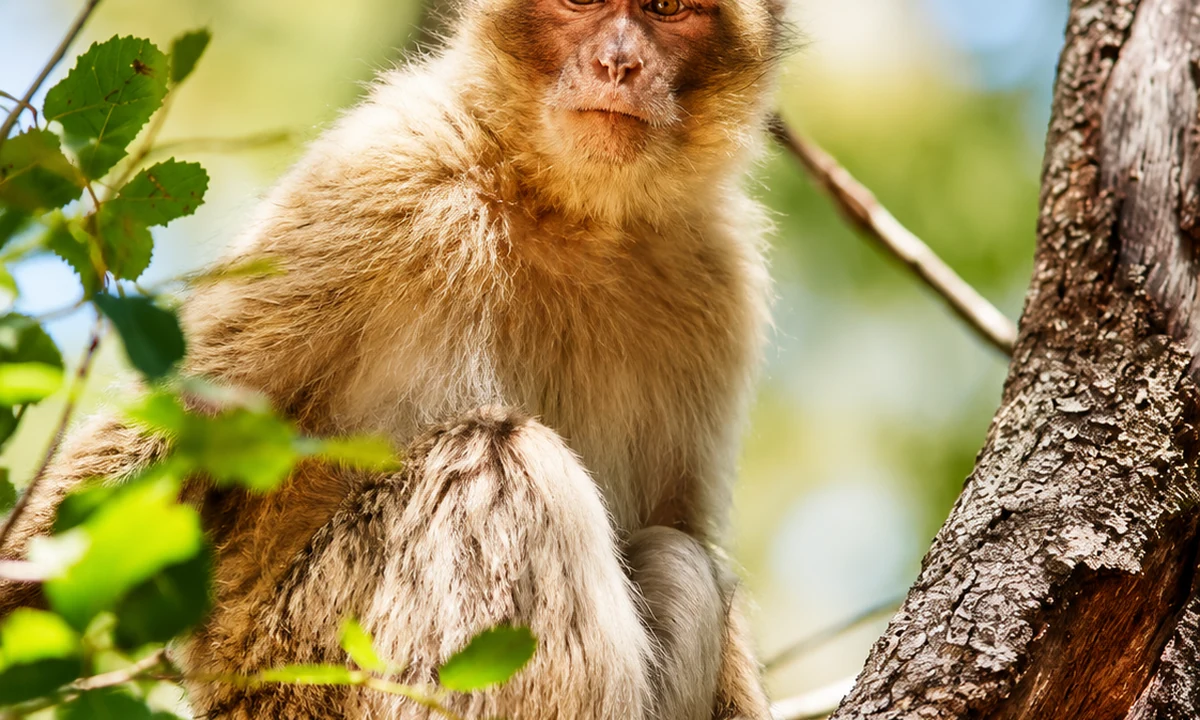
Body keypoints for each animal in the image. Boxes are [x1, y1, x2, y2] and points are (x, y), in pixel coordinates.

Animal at [0, 0, 788, 717]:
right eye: (578, 4)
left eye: (666, 9)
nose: (616, 63)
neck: (570, 212)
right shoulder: (384, 170)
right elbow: (170, 436)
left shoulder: (716, 276)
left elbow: (682, 523)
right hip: (311, 665)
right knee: (501, 456)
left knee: (674, 556)